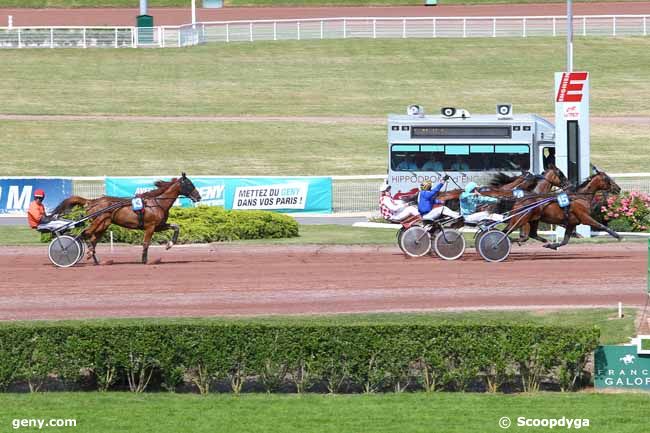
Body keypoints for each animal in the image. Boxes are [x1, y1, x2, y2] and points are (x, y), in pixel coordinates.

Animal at [52, 172, 201, 264]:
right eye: (189, 184)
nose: (198, 197)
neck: (157, 202)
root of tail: (92, 201)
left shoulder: (158, 226)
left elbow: (176, 227)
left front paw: (169, 244)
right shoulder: (150, 226)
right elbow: (146, 243)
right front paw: (145, 261)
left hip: (104, 224)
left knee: (92, 239)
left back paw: (95, 259)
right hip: (99, 221)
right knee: (85, 234)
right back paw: (69, 251)